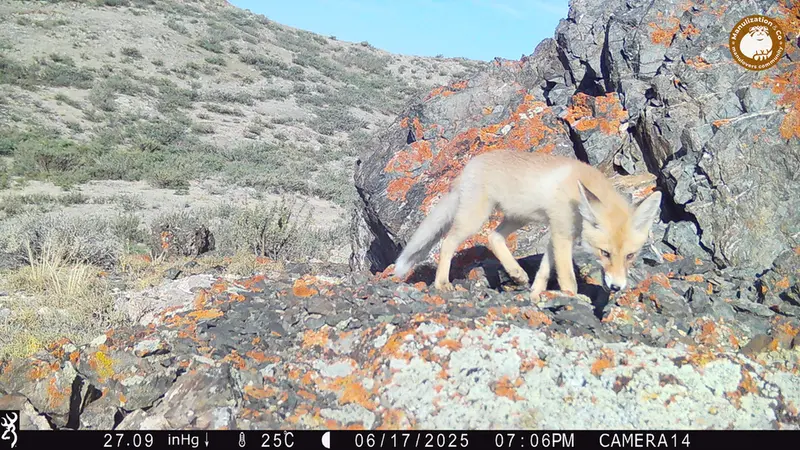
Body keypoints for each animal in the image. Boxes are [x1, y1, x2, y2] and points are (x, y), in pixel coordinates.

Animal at [392, 149, 663, 300]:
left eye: (630, 256)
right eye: (604, 253)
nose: (616, 287)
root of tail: (470, 165)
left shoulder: (556, 234)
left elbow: (544, 271)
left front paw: (535, 296)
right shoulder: (562, 233)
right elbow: (568, 279)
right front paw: (572, 299)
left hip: (517, 217)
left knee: (494, 237)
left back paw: (517, 273)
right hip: (475, 218)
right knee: (448, 242)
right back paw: (441, 283)